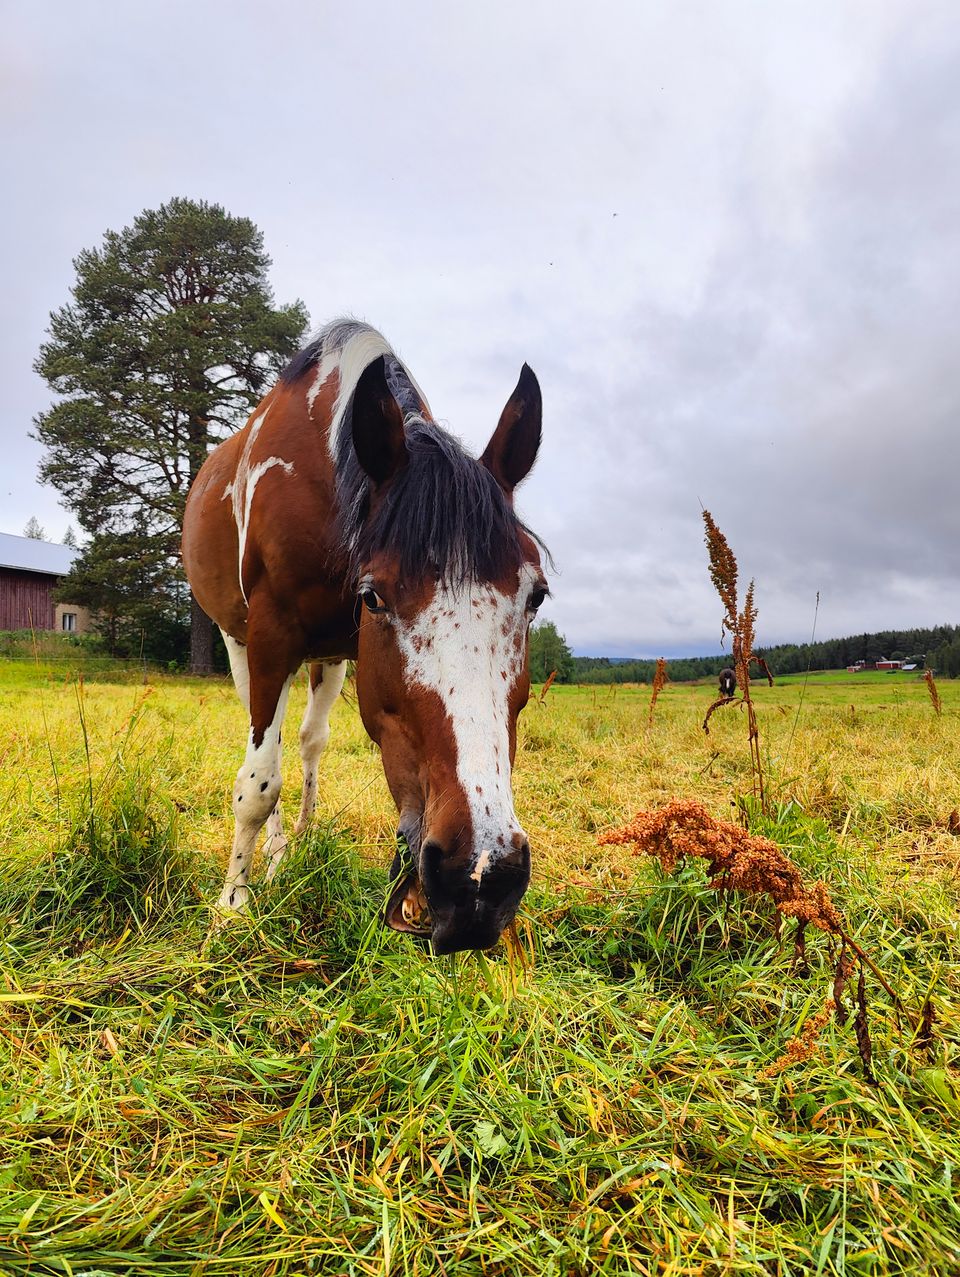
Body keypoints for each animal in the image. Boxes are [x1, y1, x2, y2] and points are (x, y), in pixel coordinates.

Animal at [181, 324, 546, 955]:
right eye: (374, 596)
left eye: (536, 597)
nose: (479, 879)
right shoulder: (270, 637)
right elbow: (257, 784)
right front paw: (232, 905)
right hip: (239, 644)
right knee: (270, 751)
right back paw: (274, 854)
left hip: (329, 660)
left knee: (310, 740)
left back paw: (300, 837)